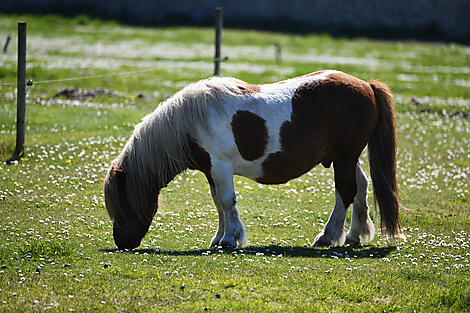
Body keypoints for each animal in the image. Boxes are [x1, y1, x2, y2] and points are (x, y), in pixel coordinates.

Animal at [103, 70, 400, 249]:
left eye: (122, 204)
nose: (122, 242)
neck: (192, 121)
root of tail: (366, 85)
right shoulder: (212, 171)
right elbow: (218, 204)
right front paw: (219, 237)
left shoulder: (220, 167)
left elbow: (226, 201)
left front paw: (229, 239)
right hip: (345, 158)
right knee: (360, 187)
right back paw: (354, 235)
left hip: (345, 156)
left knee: (345, 192)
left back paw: (328, 236)